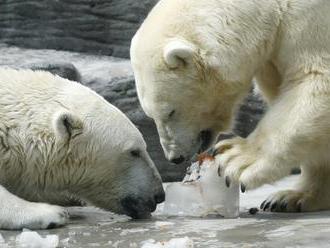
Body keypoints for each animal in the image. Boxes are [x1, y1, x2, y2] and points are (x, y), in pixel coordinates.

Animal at [131, 0, 330, 212]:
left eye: (170, 112)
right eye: (150, 115)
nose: (174, 157)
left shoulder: (311, 18)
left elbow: (316, 80)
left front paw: (234, 159)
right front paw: (294, 197)